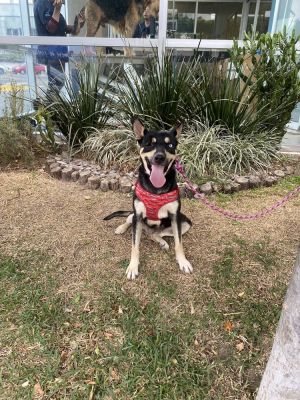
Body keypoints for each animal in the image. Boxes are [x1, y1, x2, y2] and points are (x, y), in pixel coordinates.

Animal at [103, 119, 192, 280]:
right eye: (150, 144)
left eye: (170, 145)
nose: (159, 157)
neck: (155, 189)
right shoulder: (138, 215)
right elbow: (134, 246)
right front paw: (132, 267)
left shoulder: (175, 216)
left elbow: (179, 243)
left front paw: (183, 261)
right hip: (135, 217)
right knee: (130, 220)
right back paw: (121, 228)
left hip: (185, 223)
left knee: (154, 235)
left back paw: (162, 242)